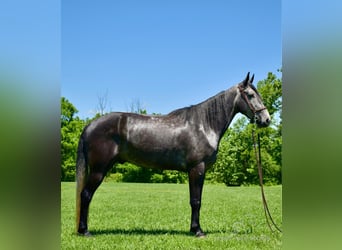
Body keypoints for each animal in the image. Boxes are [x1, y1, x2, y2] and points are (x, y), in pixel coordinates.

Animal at [76, 72, 272, 236]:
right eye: (250, 95)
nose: (266, 120)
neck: (204, 125)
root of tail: (90, 126)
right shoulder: (197, 169)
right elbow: (196, 201)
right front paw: (198, 231)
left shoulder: (198, 171)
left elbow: (196, 200)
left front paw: (194, 229)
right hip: (98, 170)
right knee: (85, 195)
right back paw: (84, 231)